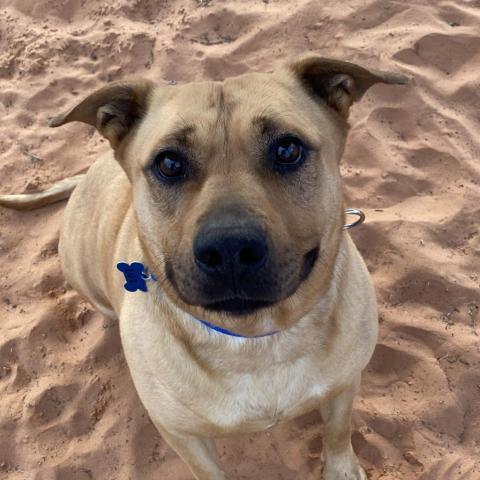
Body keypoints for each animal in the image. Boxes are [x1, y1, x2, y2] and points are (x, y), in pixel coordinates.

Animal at [0, 57, 408, 480]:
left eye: (287, 149)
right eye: (169, 163)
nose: (230, 248)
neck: (258, 340)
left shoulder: (345, 385)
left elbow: (338, 431)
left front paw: (341, 469)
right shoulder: (181, 435)